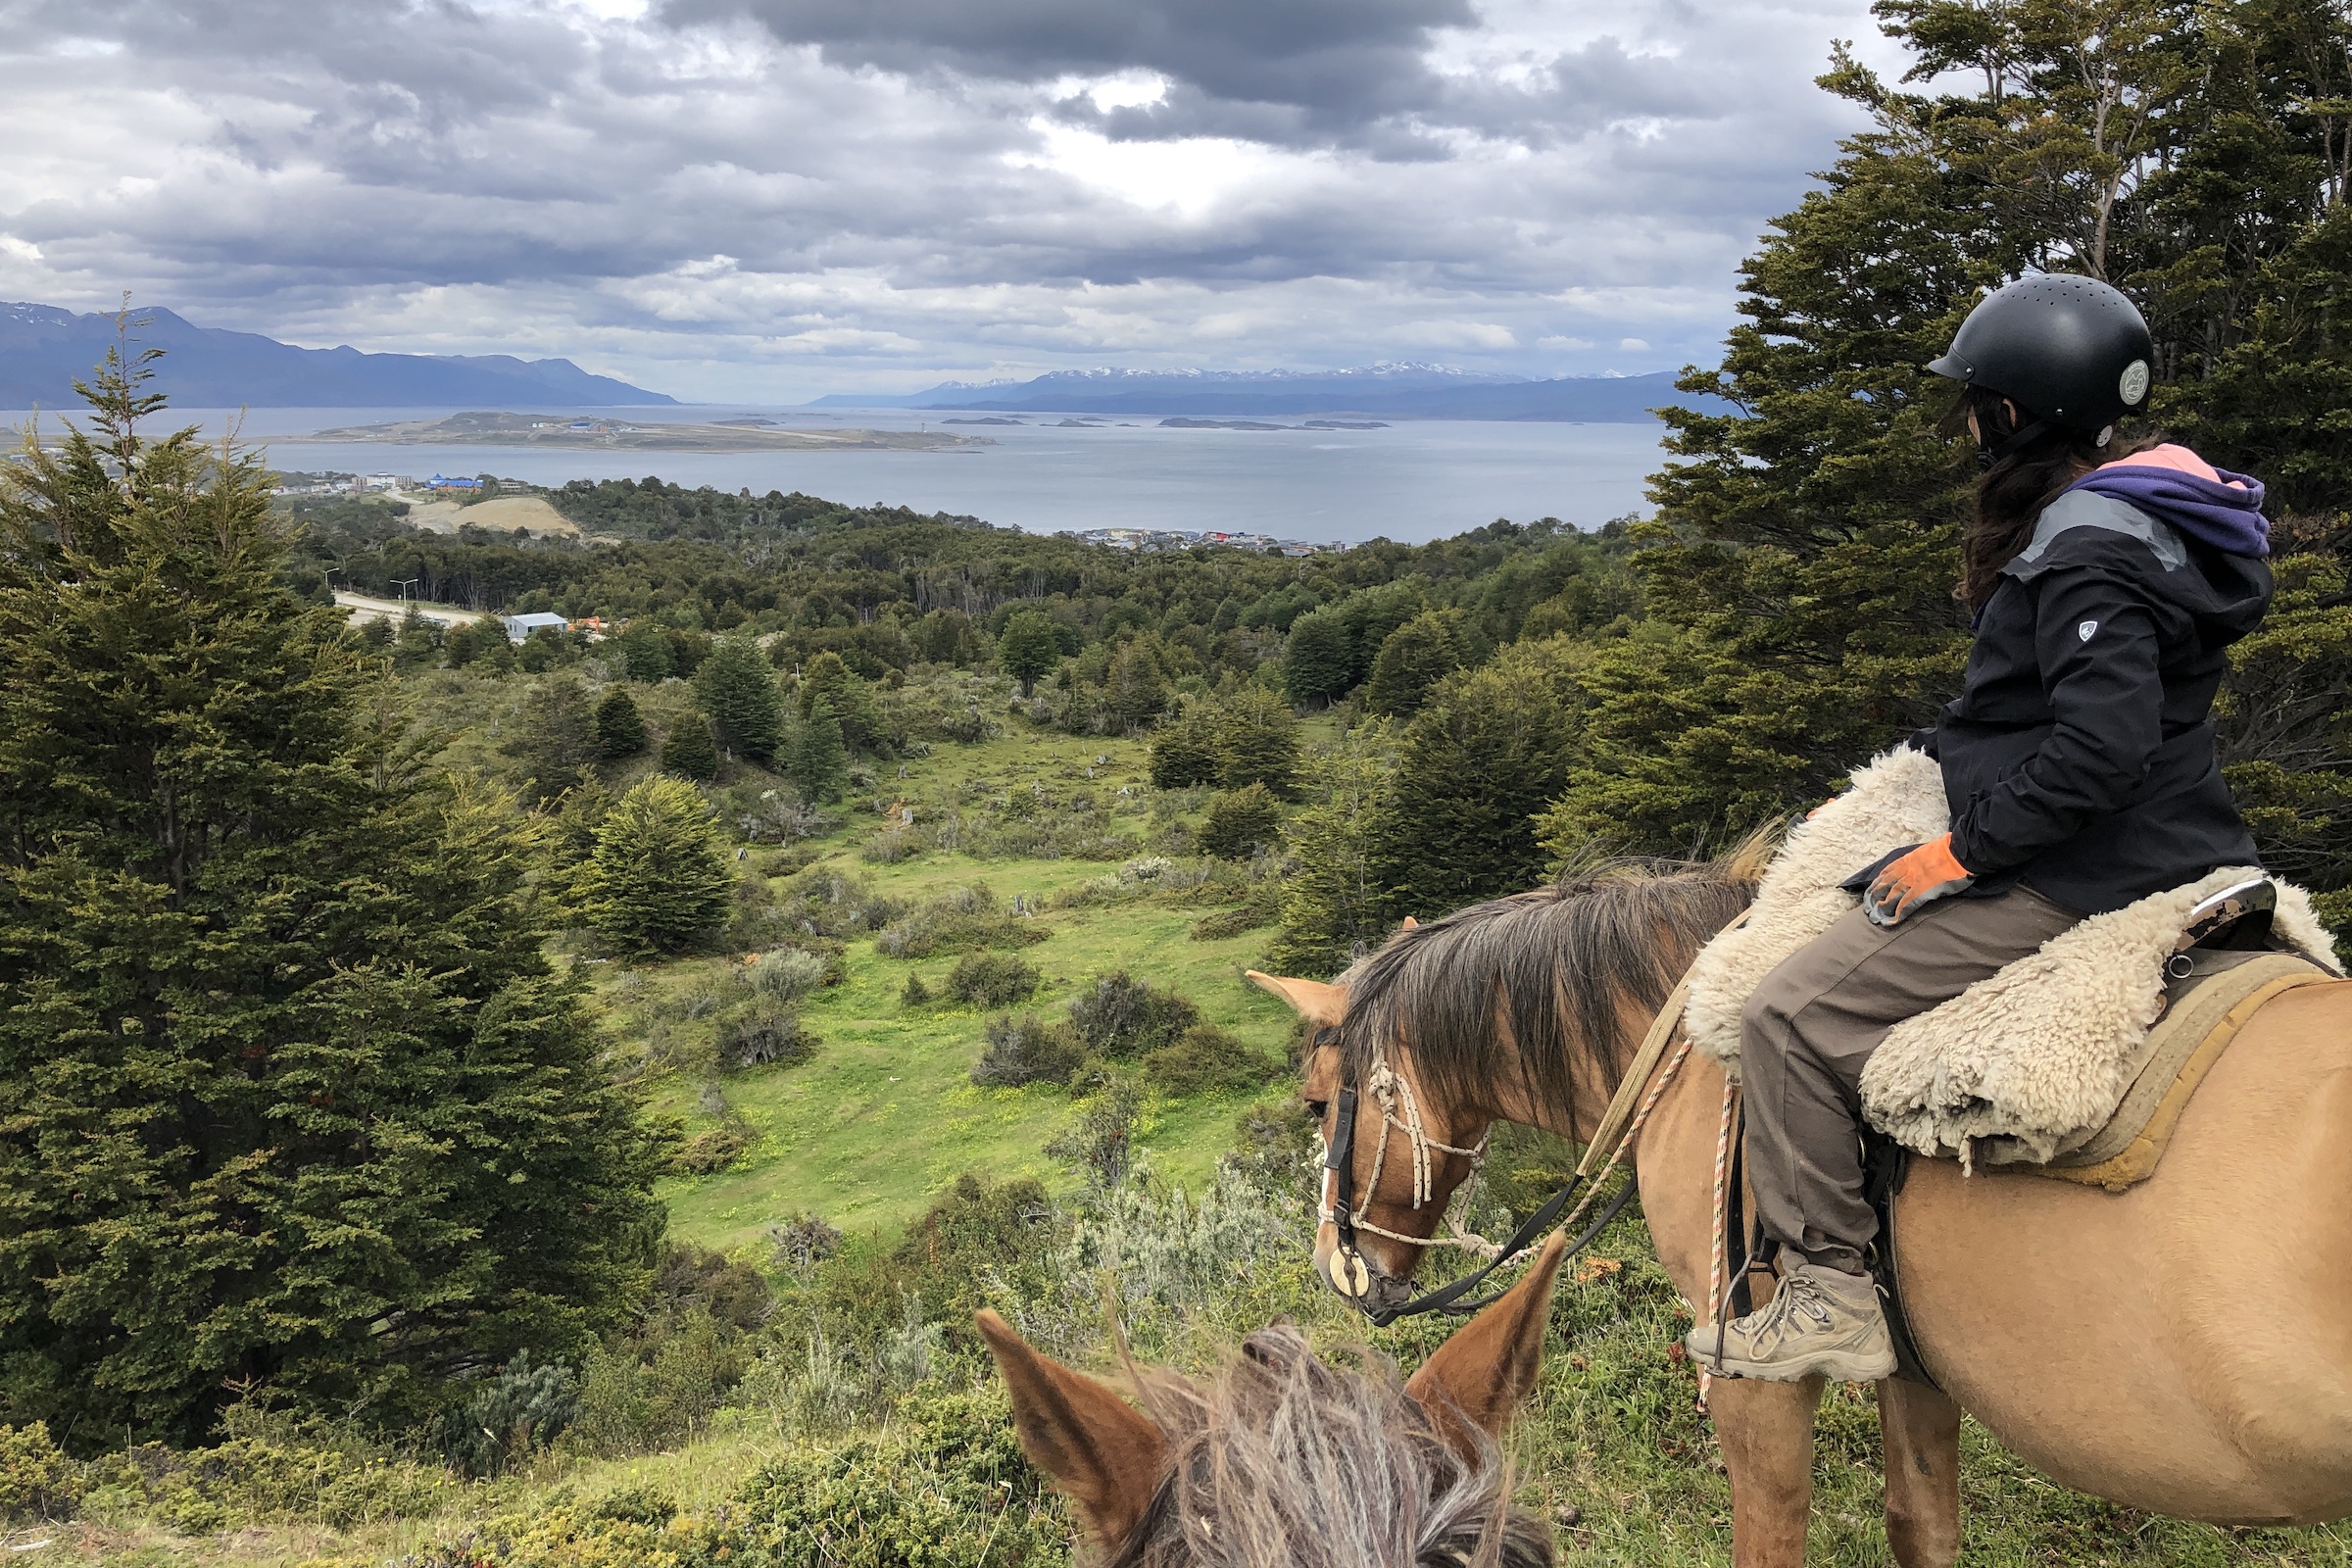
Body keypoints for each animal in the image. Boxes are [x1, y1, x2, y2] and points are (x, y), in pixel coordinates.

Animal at [1247, 854, 2352, 1567]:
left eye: (1318, 1103)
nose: (1340, 1271)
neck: (1686, 1040)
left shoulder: (1753, 1385)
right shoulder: (1913, 1365)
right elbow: (1922, 1527)